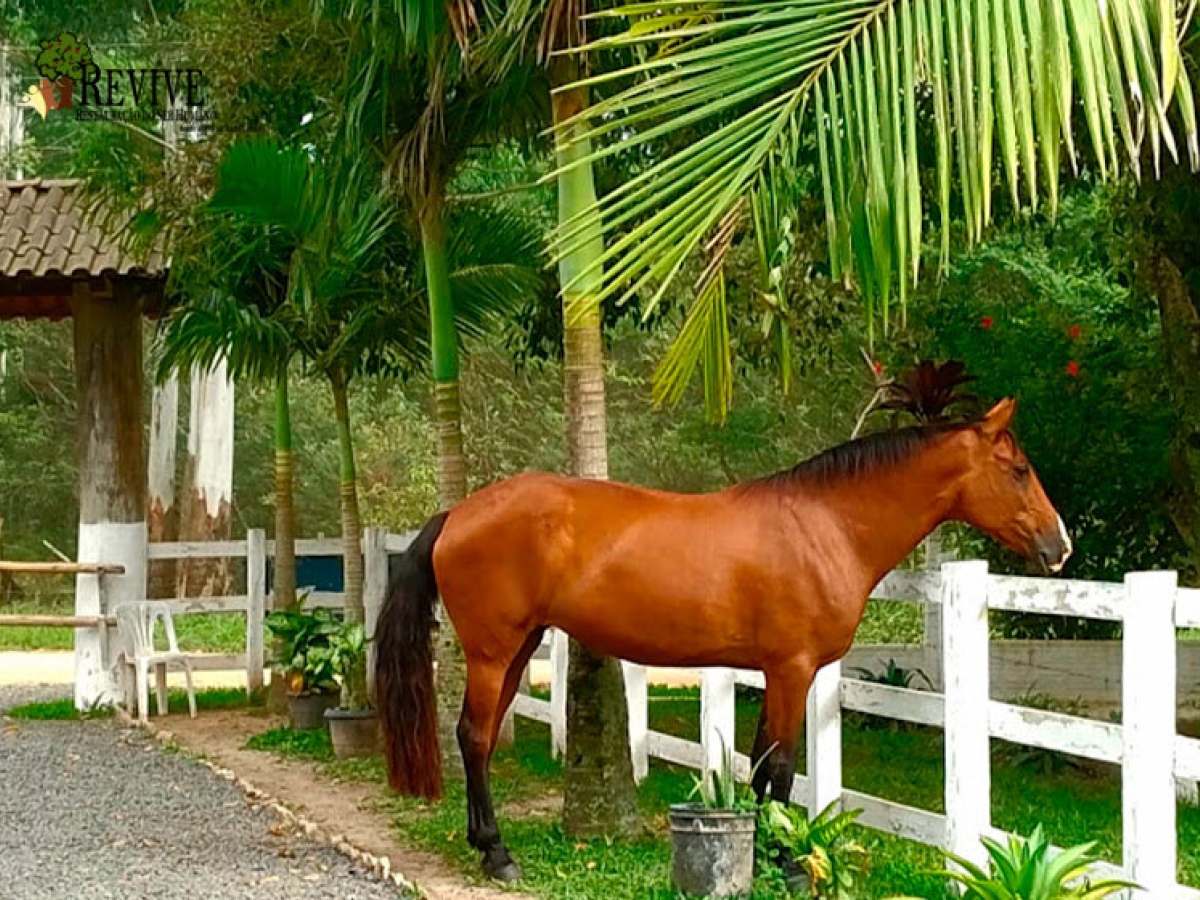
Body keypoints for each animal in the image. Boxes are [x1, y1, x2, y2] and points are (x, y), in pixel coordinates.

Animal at [372, 400, 1070, 883]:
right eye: (1018, 469)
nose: (1059, 546)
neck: (824, 526)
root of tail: (458, 515)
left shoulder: (772, 672)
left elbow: (760, 765)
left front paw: (764, 855)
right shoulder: (791, 669)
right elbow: (782, 767)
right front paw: (787, 865)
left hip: (518, 651)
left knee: (483, 739)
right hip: (493, 653)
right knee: (473, 737)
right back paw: (497, 854)